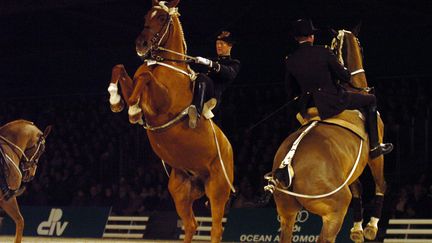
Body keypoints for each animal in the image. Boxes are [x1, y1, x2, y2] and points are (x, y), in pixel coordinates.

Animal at [106, 0, 235, 242]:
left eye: (163, 18)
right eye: (147, 15)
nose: (141, 45)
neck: (164, 65)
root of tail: (229, 149)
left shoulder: (161, 104)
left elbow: (145, 78)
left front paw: (133, 111)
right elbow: (121, 69)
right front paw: (117, 101)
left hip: (217, 189)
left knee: (215, 228)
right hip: (181, 190)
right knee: (191, 224)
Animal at [270, 28, 388, 243]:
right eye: (360, 45)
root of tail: (286, 166)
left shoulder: (351, 167)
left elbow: (358, 189)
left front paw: (357, 229)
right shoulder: (373, 156)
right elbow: (380, 184)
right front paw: (371, 227)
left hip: (287, 214)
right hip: (334, 211)